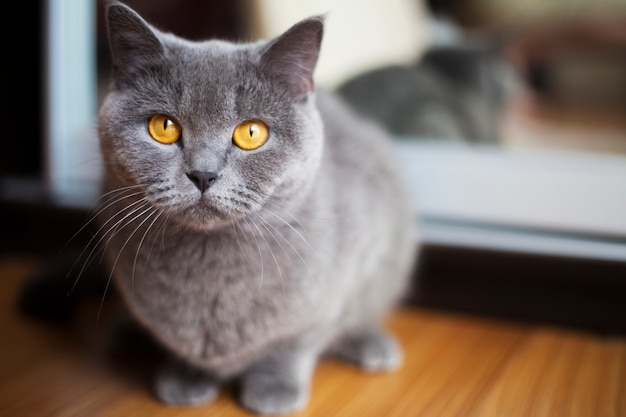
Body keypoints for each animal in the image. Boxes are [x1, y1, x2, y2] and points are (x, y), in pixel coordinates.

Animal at [97, 2, 416, 412]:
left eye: (251, 133)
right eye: (163, 127)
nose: (203, 173)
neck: (209, 265)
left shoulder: (344, 278)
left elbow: (296, 342)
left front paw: (274, 388)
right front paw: (186, 375)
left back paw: (371, 345)